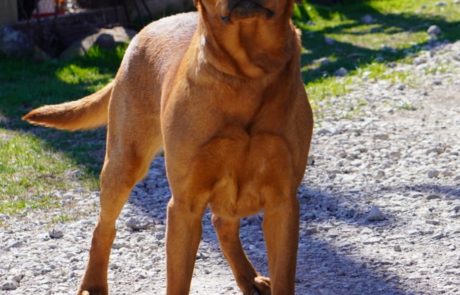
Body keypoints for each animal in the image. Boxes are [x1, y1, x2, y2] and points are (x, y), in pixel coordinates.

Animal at [23, 1, 314, 294]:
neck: (247, 74)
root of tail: (146, 29)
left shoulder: (283, 202)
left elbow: (284, 277)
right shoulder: (184, 205)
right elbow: (177, 281)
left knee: (222, 223)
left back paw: (248, 278)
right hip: (122, 164)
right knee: (103, 228)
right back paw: (92, 284)